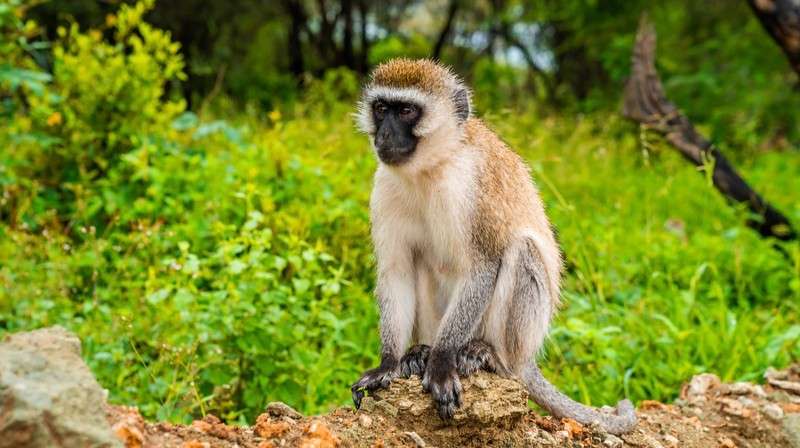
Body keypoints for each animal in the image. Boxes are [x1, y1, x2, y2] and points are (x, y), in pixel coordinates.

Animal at [350, 58, 637, 435]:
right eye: (382, 109)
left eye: (407, 111)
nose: (383, 135)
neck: (431, 168)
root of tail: (525, 359)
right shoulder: (384, 187)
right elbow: (397, 272)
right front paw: (388, 363)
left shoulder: (473, 187)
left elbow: (483, 266)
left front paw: (441, 362)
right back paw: (420, 352)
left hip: (521, 337)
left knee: (521, 250)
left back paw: (485, 354)